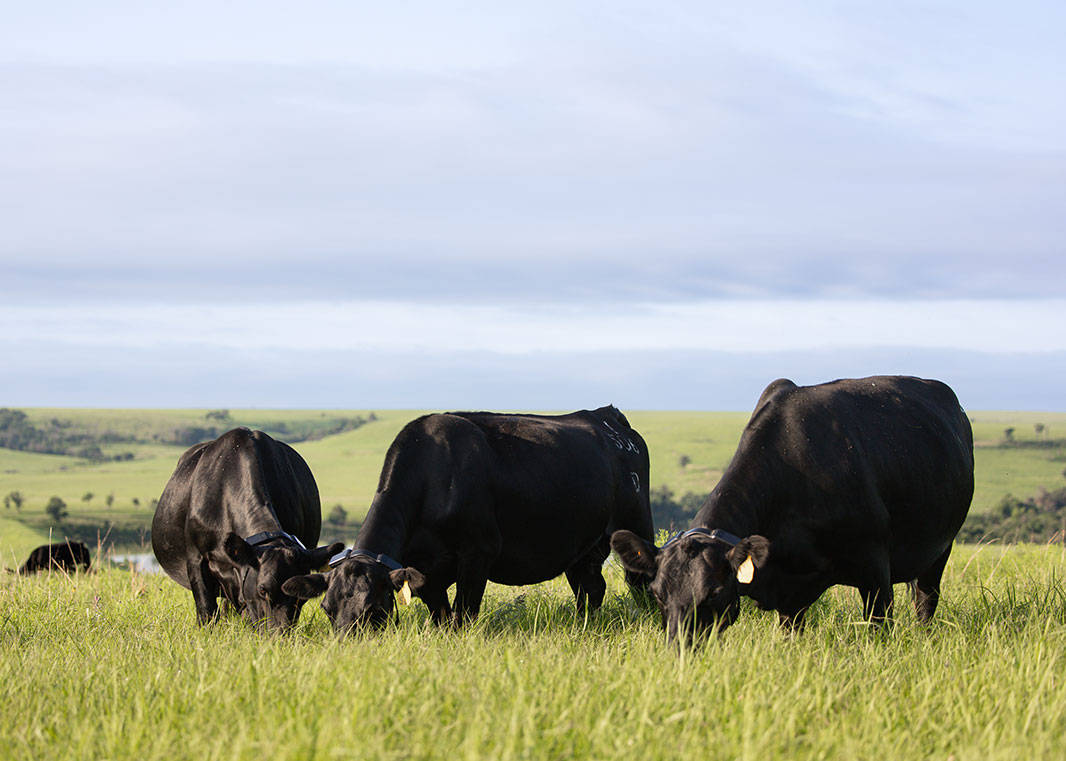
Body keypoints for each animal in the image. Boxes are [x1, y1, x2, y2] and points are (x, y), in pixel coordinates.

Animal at [281, 406, 655, 632]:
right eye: (327, 609)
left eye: (374, 608)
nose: (348, 644)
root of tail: (606, 415)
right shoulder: (425, 572)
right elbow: (442, 617)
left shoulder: (479, 553)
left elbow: (464, 614)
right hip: (584, 547)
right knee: (590, 588)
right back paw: (583, 625)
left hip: (635, 520)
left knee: (639, 581)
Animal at [611, 375, 974, 646]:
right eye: (658, 594)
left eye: (713, 593)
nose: (681, 647)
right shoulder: (789, 591)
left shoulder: (875, 567)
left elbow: (878, 626)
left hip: (941, 548)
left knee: (926, 601)